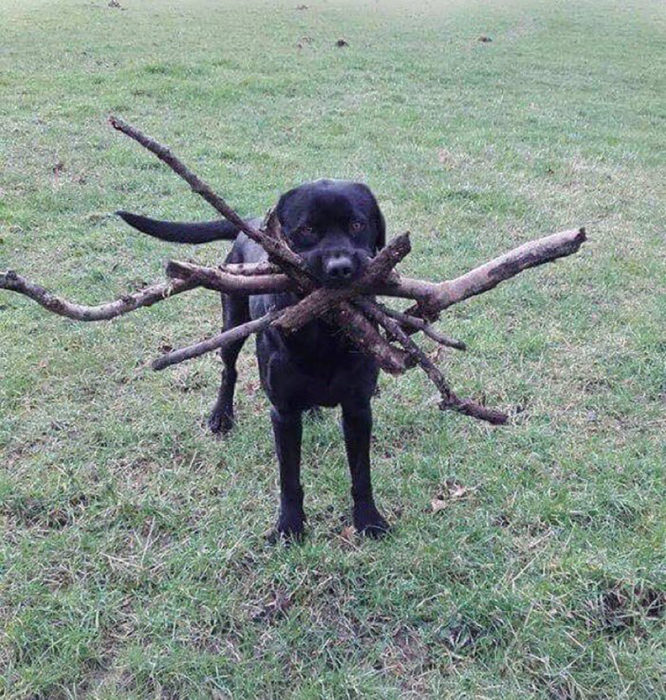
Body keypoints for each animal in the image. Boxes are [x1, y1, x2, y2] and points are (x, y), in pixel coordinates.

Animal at [118, 178, 390, 540]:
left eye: (357, 225)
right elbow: (289, 479)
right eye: (307, 229)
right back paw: (221, 416)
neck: (323, 332)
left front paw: (369, 520)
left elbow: (361, 473)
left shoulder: (358, 407)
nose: (340, 268)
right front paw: (289, 527)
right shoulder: (283, 413)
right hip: (232, 322)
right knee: (228, 370)